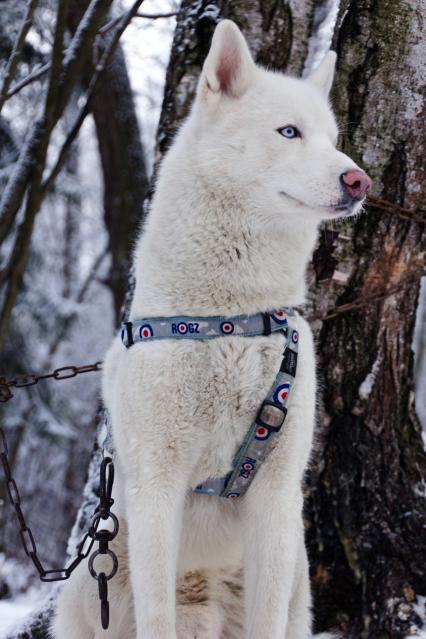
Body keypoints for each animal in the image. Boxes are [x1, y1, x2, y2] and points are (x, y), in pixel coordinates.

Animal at [53, 20, 372, 639]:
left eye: (332, 139)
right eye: (289, 132)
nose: (359, 180)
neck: (231, 319)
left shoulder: (276, 496)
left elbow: (267, 619)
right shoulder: (156, 487)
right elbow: (155, 618)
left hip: (295, 573)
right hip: (97, 570)